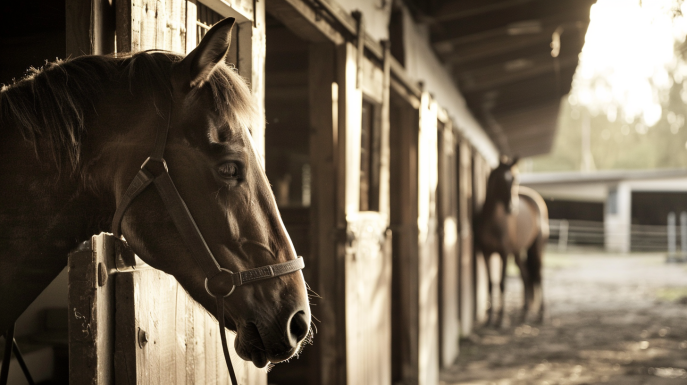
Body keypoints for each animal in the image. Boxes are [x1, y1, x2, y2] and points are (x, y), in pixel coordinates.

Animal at [476, 158, 552, 326]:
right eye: (500, 179)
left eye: (515, 179)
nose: (512, 208)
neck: (493, 221)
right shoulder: (486, 253)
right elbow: (490, 283)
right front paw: (489, 318)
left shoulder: (504, 254)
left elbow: (502, 283)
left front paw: (501, 319)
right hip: (517, 252)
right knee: (526, 276)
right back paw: (525, 313)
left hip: (537, 248)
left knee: (538, 275)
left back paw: (541, 314)